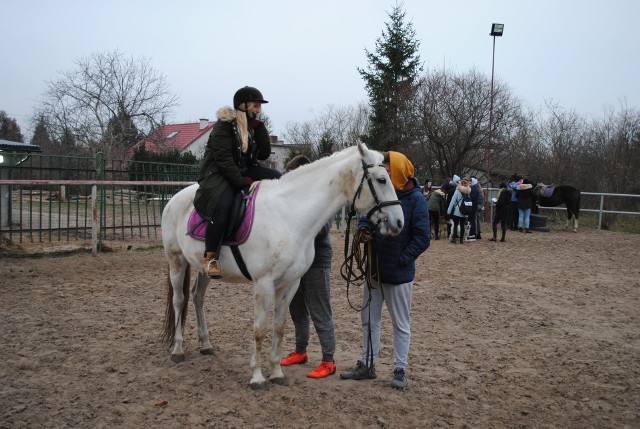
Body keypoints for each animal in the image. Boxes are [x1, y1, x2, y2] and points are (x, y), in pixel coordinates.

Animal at [160, 142, 402, 390]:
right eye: (382, 180)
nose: (399, 222)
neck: (290, 215)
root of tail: (175, 198)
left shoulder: (290, 284)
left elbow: (280, 327)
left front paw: (276, 373)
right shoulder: (263, 284)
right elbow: (259, 330)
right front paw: (257, 377)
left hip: (205, 269)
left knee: (197, 297)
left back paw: (206, 345)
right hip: (176, 261)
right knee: (179, 300)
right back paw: (178, 350)